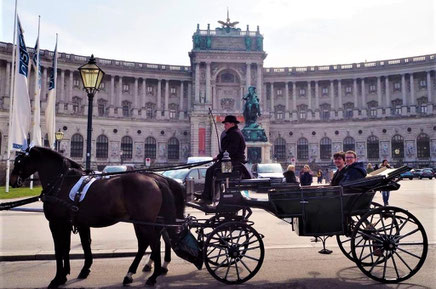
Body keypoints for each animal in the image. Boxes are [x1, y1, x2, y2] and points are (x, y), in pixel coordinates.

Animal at [10, 147, 184, 286]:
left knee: (154, 242)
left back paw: (153, 276)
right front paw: (75, 272)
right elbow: (78, 245)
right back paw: (132, 274)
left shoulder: (57, 223)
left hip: (145, 222)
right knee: (147, 243)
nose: (12, 181)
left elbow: (59, 249)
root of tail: (156, 179)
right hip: (143, 221)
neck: (62, 183)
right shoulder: (76, 223)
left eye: (19, 162)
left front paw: (58, 278)